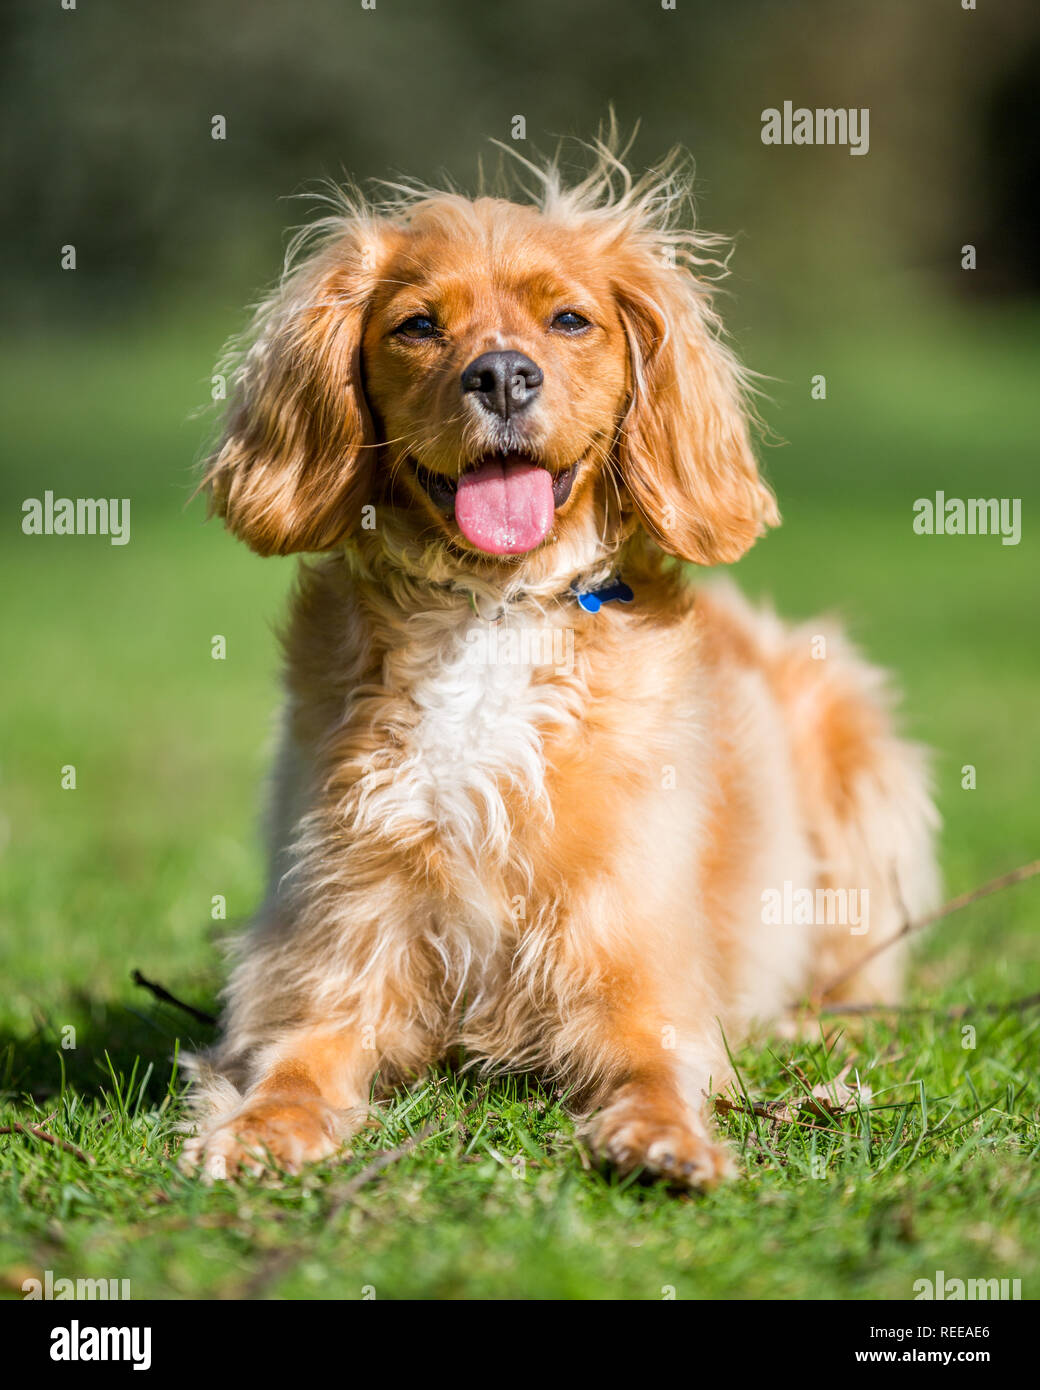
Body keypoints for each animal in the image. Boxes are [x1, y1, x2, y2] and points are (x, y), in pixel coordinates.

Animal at [180, 138, 939, 1184]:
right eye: (418, 326)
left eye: (570, 319)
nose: (502, 375)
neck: (492, 613)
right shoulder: (332, 953)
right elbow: (292, 1064)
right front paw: (258, 1131)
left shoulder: (634, 961)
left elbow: (653, 1066)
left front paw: (664, 1138)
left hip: (854, 743)